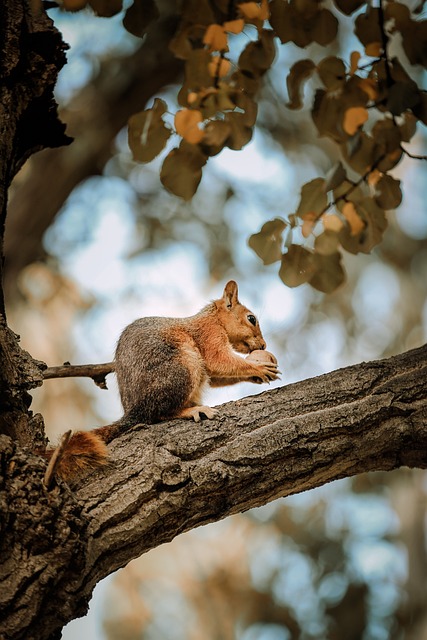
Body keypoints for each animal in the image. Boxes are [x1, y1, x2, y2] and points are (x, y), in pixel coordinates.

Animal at [43, 281, 279, 480]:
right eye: (251, 319)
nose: (264, 346)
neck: (215, 318)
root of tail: (134, 411)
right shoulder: (208, 334)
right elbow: (218, 360)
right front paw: (259, 367)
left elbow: (215, 376)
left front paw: (257, 375)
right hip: (182, 369)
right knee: (158, 414)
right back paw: (191, 410)